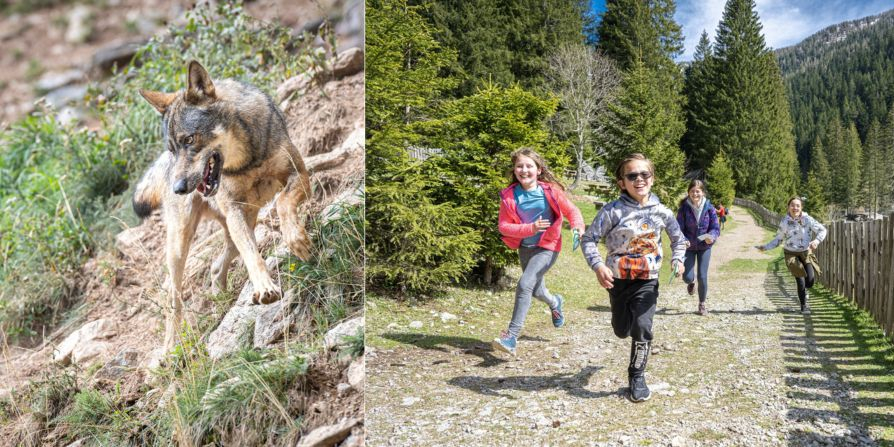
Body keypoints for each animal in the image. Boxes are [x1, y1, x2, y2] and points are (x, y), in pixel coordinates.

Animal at [135, 60, 314, 354]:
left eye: (189, 140)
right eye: (173, 148)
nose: (178, 187)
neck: (247, 161)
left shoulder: (299, 176)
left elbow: (282, 203)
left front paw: (297, 240)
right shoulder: (235, 211)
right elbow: (253, 256)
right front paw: (265, 288)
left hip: (242, 222)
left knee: (216, 266)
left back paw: (221, 297)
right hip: (182, 245)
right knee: (174, 299)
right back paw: (170, 350)